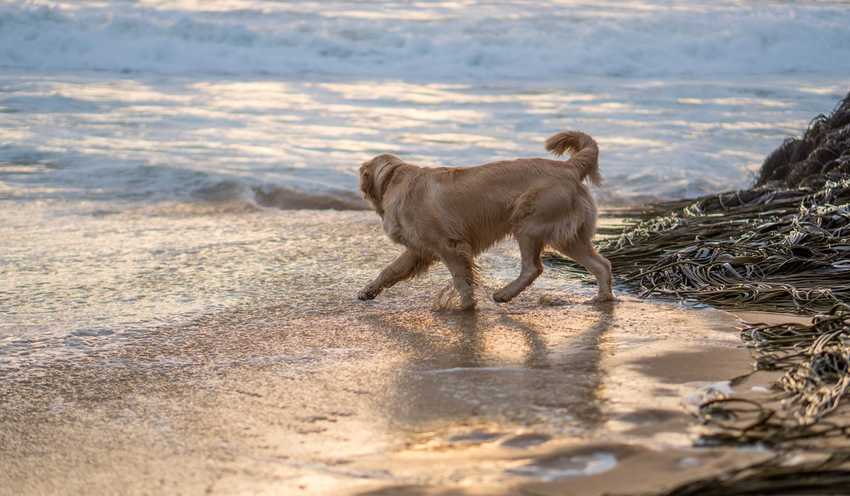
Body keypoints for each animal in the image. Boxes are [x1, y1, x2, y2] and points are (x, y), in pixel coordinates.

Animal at [356, 132, 608, 310]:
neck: (394, 178)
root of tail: (569, 166)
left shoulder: (449, 245)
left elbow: (461, 279)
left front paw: (466, 305)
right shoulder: (419, 249)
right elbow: (390, 270)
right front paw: (368, 291)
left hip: (530, 224)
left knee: (533, 268)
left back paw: (503, 294)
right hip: (567, 235)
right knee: (602, 264)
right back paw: (603, 298)